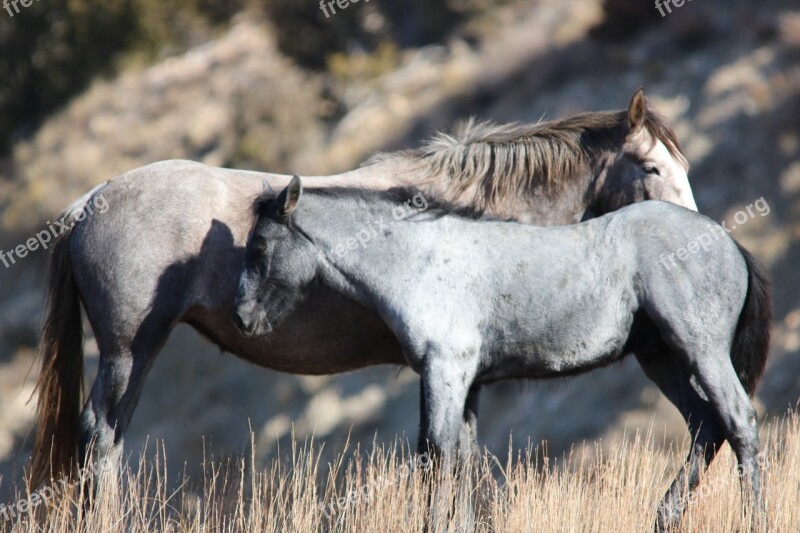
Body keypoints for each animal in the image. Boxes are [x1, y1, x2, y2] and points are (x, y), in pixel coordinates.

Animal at [31, 87, 692, 490]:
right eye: (652, 168)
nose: (694, 233)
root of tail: (92, 200)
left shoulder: (465, 374)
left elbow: (462, 459)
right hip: (127, 352)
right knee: (101, 440)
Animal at [236, 178, 768, 528]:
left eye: (260, 245)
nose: (242, 318)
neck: (419, 259)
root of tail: (728, 240)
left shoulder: (445, 370)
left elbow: (436, 454)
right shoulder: (466, 382)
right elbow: (462, 457)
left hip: (699, 350)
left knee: (737, 420)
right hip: (661, 359)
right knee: (705, 427)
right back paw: (663, 516)